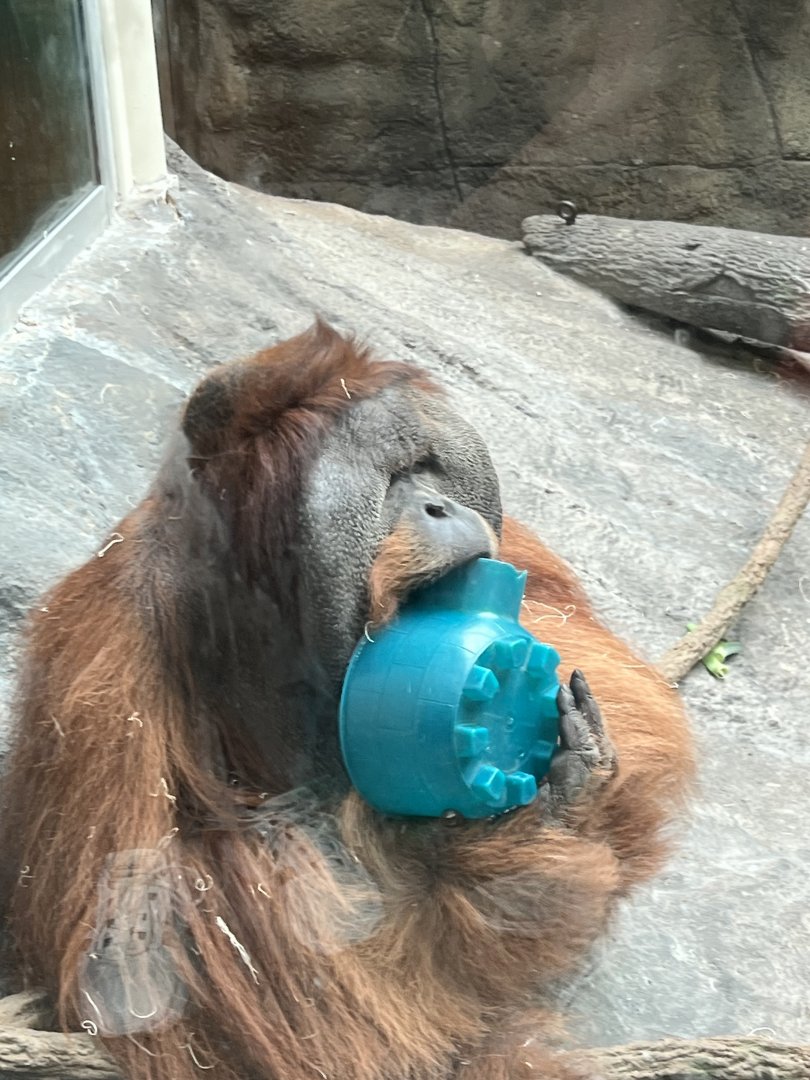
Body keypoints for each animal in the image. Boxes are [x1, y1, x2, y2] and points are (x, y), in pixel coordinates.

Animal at [0, 322, 693, 1080]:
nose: (441, 507)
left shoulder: (515, 550)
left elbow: (582, 641)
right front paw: (472, 835)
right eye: (392, 482)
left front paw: (566, 772)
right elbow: (153, 970)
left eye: (427, 469)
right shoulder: (101, 676)